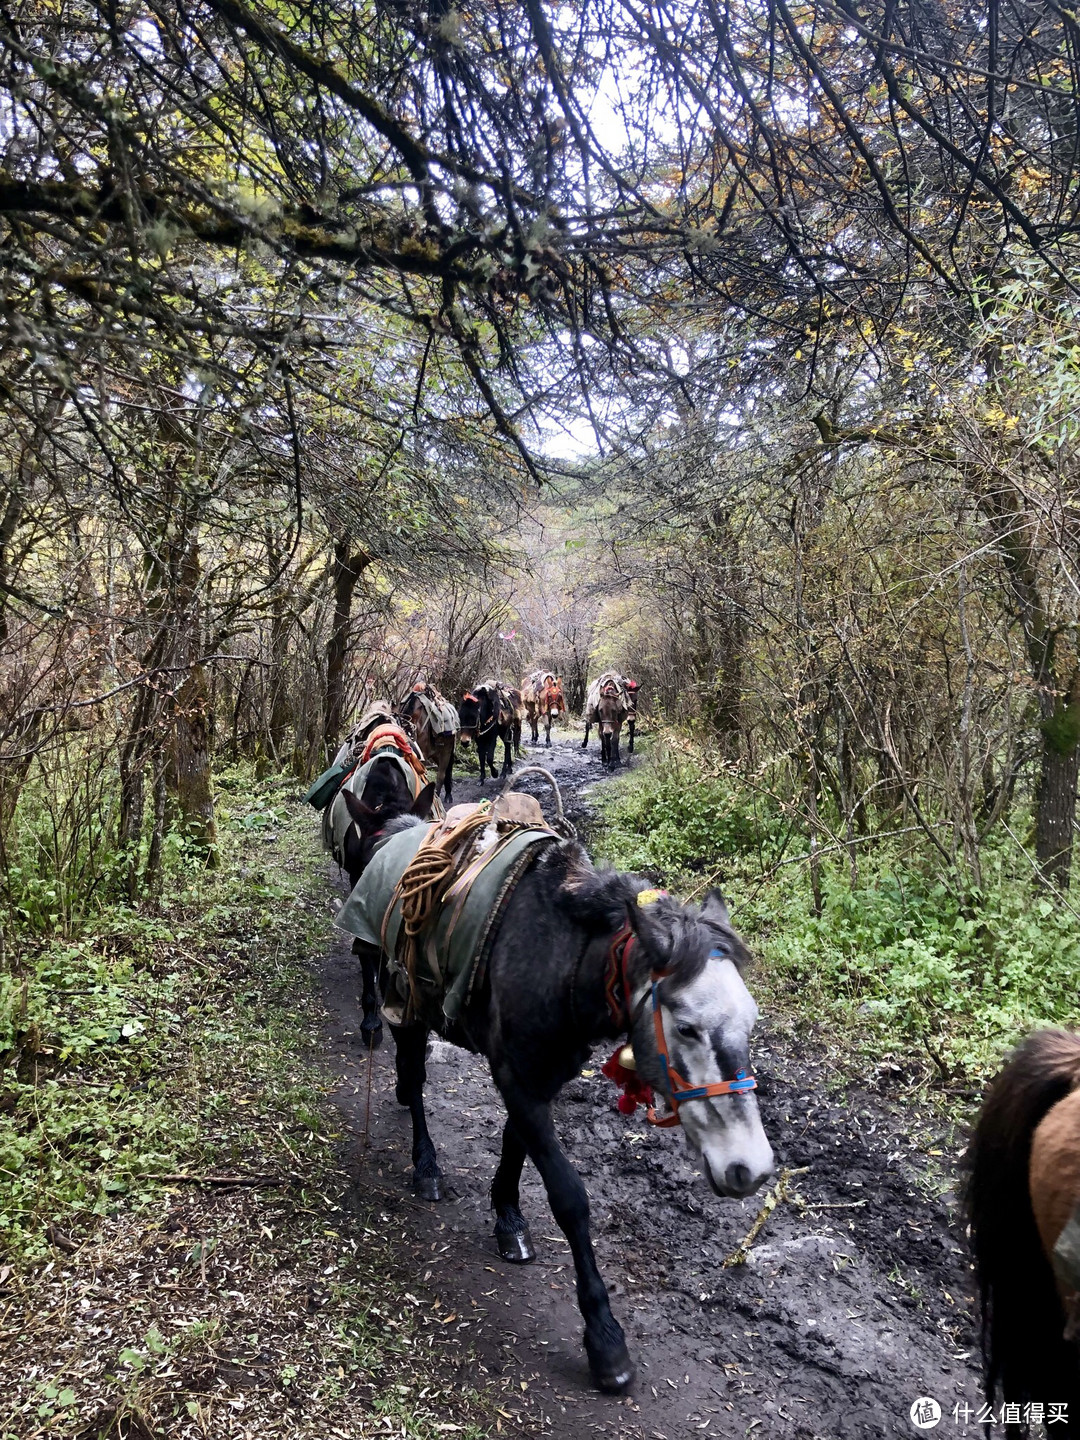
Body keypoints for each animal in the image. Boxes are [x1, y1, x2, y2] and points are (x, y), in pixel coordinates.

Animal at [342, 789, 771, 1393]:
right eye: (686, 1027)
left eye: (751, 1021)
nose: (750, 1168)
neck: (565, 961)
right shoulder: (518, 1078)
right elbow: (569, 1196)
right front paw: (605, 1339)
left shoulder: (539, 1079)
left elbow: (514, 1145)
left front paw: (508, 1218)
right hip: (402, 994)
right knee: (414, 1070)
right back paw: (425, 1165)